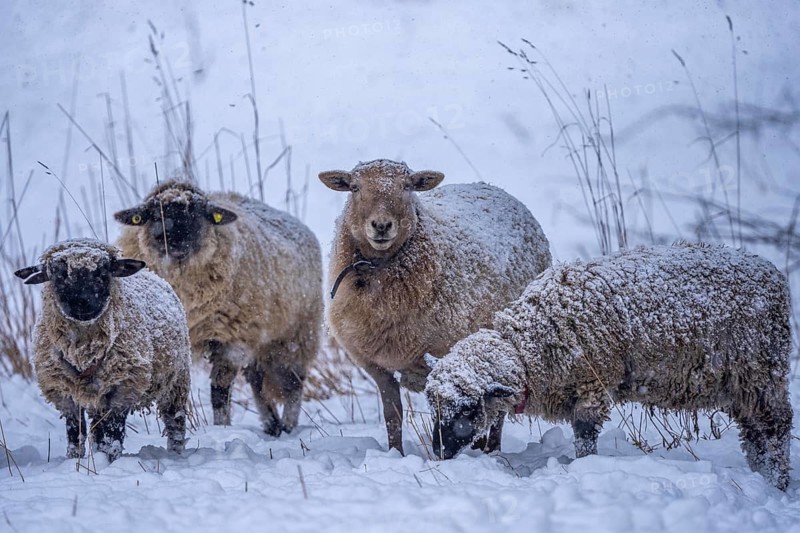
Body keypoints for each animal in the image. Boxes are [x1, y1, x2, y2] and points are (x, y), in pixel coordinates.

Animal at [14, 239, 191, 461]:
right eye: (57, 274)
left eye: (103, 272)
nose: (82, 304)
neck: (82, 350)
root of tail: (152, 273)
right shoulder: (63, 393)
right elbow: (76, 432)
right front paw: (76, 459)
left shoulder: (123, 387)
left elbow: (113, 432)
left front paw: (111, 460)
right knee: (97, 430)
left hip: (176, 381)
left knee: (174, 420)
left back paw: (176, 453)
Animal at [114, 180, 323, 436]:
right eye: (154, 214)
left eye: (197, 213)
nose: (175, 242)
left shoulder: (233, 338)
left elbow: (220, 391)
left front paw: (222, 428)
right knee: (257, 379)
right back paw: (271, 425)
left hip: (296, 334)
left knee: (293, 381)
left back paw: (288, 426)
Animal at [319, 159, 551, 453]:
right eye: (354, 187)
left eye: (407, 187)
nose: (381, 225)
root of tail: (492, 188)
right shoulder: (375, 366)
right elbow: (393, 415)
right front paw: (396, 453)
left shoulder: (445, 361)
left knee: (497, 408)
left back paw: (490, 450)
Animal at [426, 242, 793, 490]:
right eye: (433, 407)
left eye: (469, 409)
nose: (439, 453)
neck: (529, 345)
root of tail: (775, 277)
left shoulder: (592, 385)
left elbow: (585, 436)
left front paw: (584, 468)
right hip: (744, 384)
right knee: (755, 433)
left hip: (761, 373)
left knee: (776, 428)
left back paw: (777, 482)